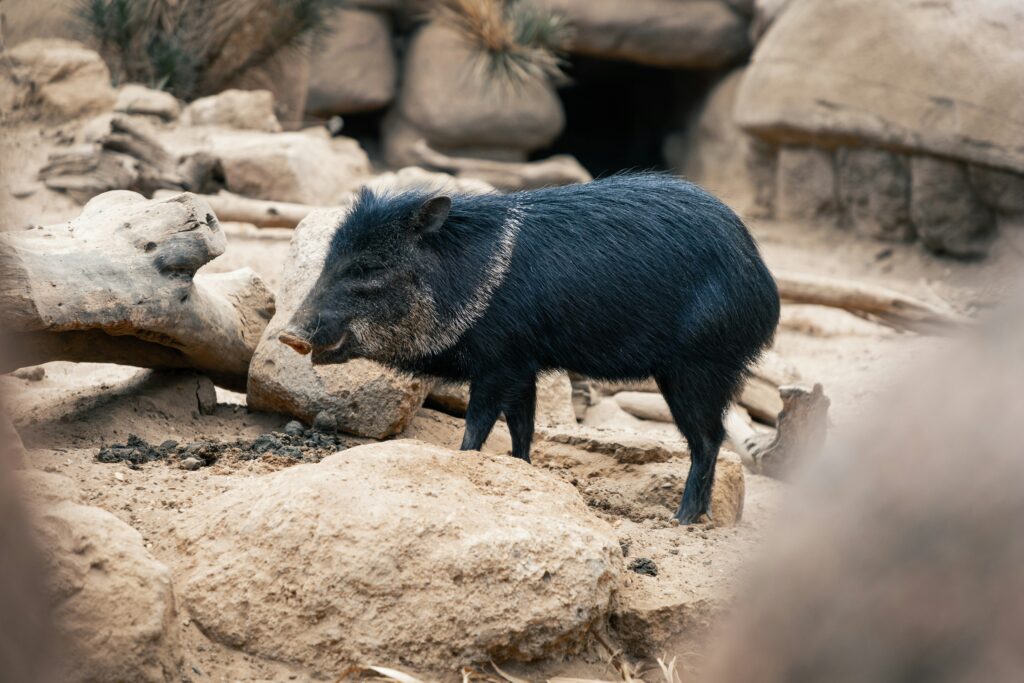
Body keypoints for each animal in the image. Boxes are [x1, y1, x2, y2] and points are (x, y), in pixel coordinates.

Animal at [279, 174, 780, 523]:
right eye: (330, 261)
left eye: (368, 269)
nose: (289, 334)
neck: (470, 279)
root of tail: (765, 291)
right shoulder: (523, 365)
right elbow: (523, 427)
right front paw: (521, 471)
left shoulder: (500, 361)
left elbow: (479, 423)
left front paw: (466, 460)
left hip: (698, 367)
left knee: (708, 440)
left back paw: (683, 519)